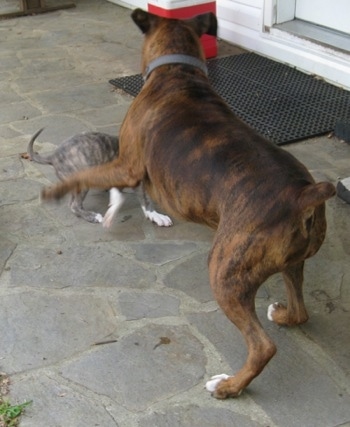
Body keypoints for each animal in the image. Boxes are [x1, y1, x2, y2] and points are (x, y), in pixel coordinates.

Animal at [28, 128, 173, 227]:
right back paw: (91, 216)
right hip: (81, 179)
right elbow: (146, 199)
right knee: (74, 205)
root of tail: (53, 156)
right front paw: (156, 216)